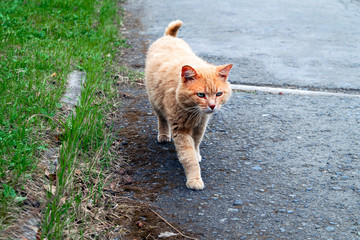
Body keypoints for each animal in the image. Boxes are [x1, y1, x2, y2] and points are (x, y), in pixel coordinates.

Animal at [146, 20, 233, 189]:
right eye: (201, 95)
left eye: (218, 94)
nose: (212, 106)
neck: (194, 113)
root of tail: (169, 37)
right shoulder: (180, 130)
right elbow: (188, 156)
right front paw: (194, 179)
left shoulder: (201, 125)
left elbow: (197, 143)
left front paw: (197, 154)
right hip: (155, 103)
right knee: (162, 119)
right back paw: (164, 135)